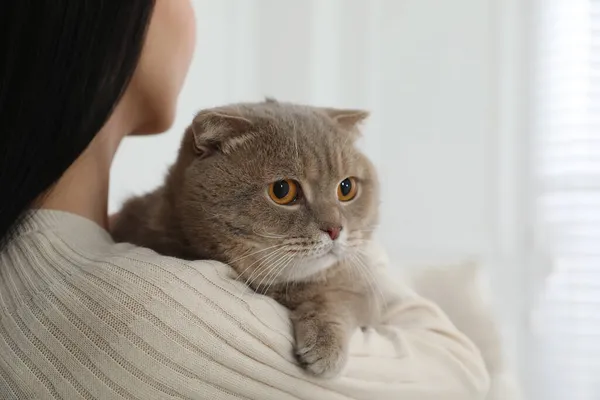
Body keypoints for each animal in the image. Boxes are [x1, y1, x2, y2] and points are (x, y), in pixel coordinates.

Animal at [111, 100, 384, 378]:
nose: (335, 229)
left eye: (346, 188)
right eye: (282, 190)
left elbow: (339, 297)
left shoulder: (362, 288)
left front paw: (325, 343)